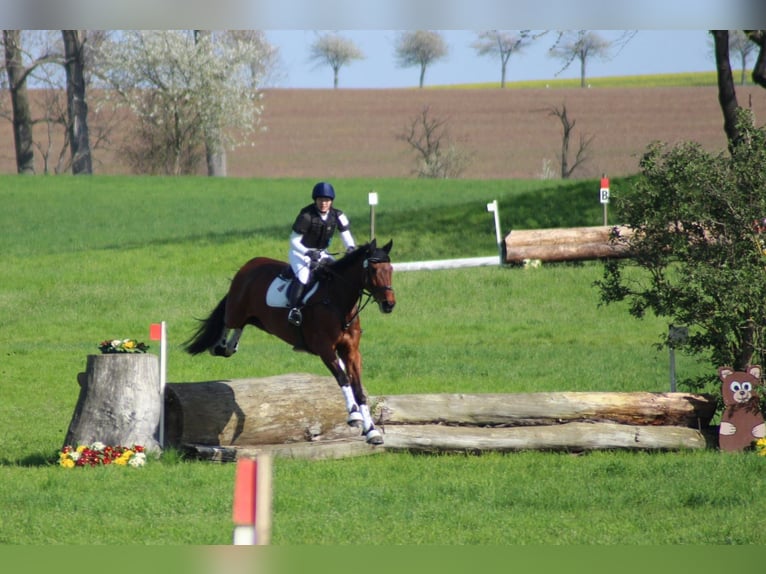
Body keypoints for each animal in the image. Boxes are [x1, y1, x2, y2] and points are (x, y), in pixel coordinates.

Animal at [182, 238, 396, 446]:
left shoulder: (351, 351)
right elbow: (343, 378)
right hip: (237, 310)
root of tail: (249, 265)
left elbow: (358, 390)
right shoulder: (324, 349)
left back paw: (230, 346)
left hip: (257, 319)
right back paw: (218, 346)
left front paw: (372, 432)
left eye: (391, 269)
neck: (338, 303)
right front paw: (354, 416)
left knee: (240, 326)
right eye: (373, 270)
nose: (389, 304)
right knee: (227, 321)